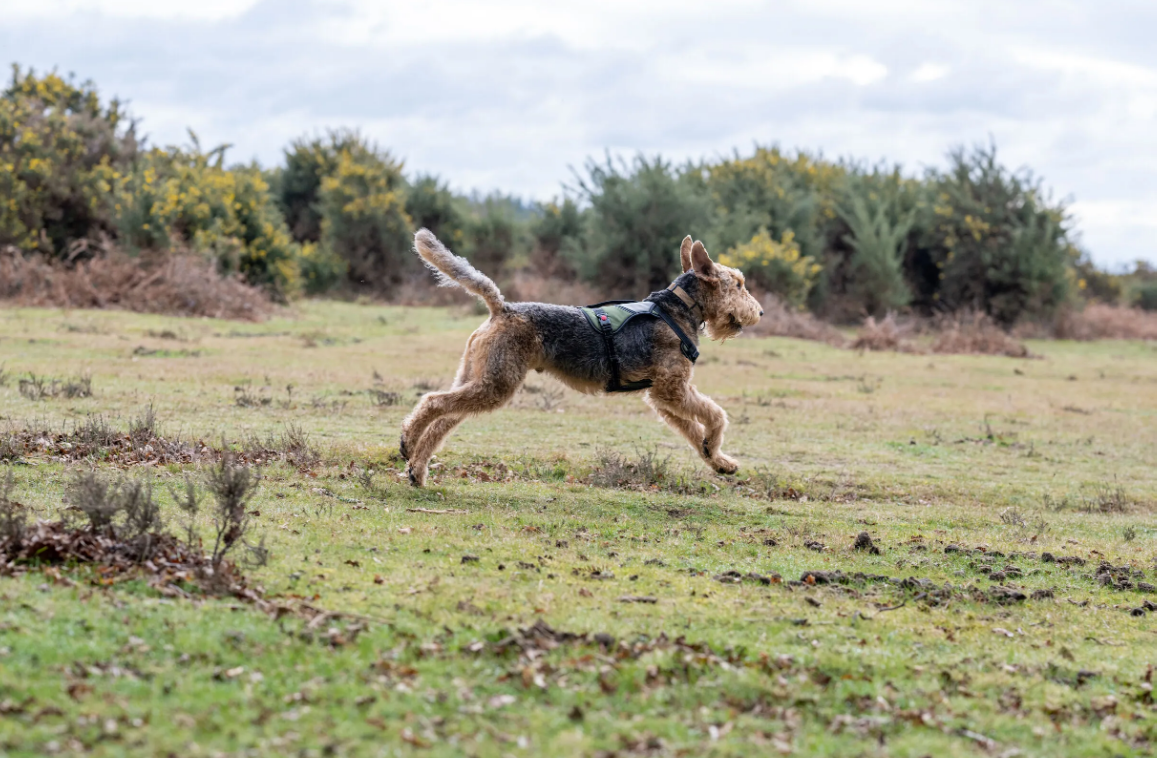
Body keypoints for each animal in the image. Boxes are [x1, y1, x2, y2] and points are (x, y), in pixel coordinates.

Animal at [402, 230, 763, 486]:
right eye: (739, 284)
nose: (759, 312)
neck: (676, 310)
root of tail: (502, 307)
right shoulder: (673, 390)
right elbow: (716, 415)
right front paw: (714, 446)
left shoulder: (663, 397)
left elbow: (693, 429)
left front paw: (719, 460)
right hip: (496, 383)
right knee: (433, 402)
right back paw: (407, 442)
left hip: (477, 377)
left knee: (443, 418)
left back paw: (417, 469)